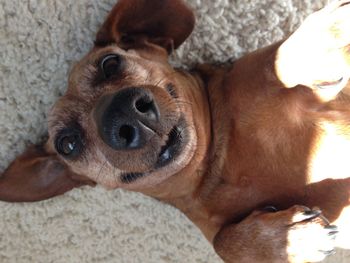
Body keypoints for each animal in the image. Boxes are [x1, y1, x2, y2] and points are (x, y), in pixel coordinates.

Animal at [0, 0, 350, 262]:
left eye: (110, 63)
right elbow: (223, 243)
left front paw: (326, 38)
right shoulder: (214, 227)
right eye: (67, 144)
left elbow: (274, 61)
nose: (123, 115)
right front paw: (289, 241)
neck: (212, 163)